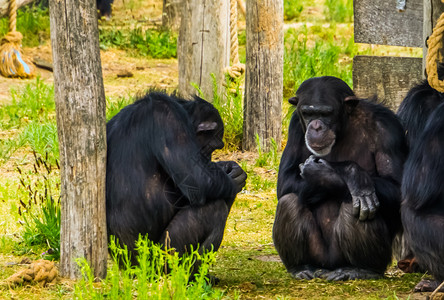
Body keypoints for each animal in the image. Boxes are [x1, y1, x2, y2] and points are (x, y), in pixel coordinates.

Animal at [106, 91, 248, 268]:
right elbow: (197, 180)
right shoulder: (169, 119)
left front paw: (228, 166)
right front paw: (233, 176)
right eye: (212, 147)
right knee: (215, 207)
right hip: (163, 256)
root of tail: (132, 268)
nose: (208, 158)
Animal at [274, 75, 410, 282]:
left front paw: (343, 174)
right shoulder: (295, 126)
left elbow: (397, 186)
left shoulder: (387, 127)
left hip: (348, 257)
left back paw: (360, 269)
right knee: (289, 201)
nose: (316, 126)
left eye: (326, 113)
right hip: (319, 255)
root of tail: (329, 267)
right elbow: (285, 180)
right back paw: (301, 267)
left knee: (354, 202)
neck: (344, 126)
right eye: (308, 113)